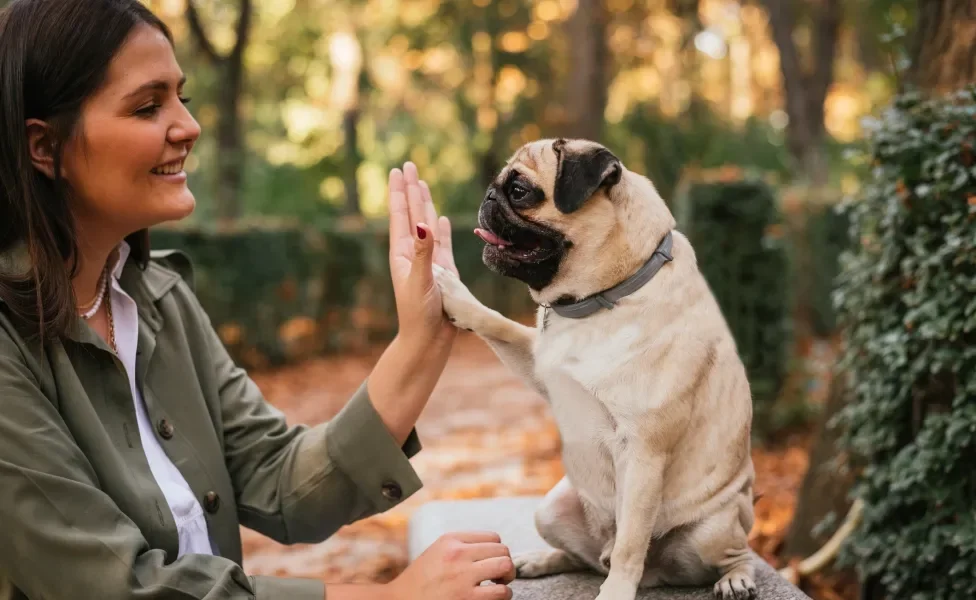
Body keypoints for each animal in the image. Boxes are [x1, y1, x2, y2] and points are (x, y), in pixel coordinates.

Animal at [430, 138, 760, 596]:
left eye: (519, 191)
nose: (488, 197)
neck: (604, 298)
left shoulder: (642, 453)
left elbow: (630, 543)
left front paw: (617, 591)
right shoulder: (539, 364)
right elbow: (500, 325)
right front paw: (457, 296)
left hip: (712, 531)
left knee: (729, 553)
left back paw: (735, 578)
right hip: (550, 508)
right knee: (583, 560)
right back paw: (539, 560)